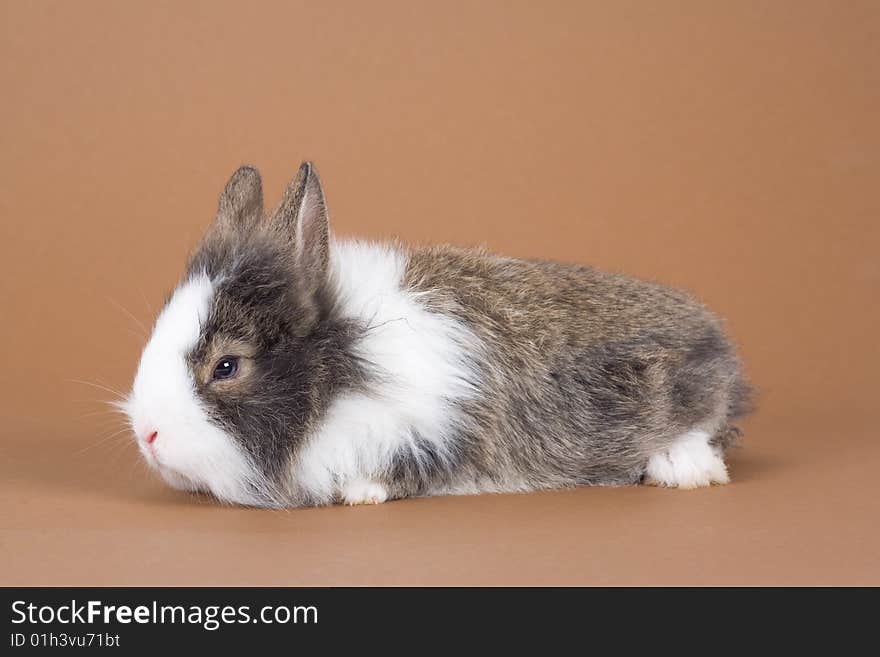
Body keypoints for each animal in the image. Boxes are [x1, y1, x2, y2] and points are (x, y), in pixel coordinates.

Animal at [124, 160, 752, 508]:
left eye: (226, 366)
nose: (148, 436)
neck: (344, 369)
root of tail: (720, 346)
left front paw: (359, 492)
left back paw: (680, 471)